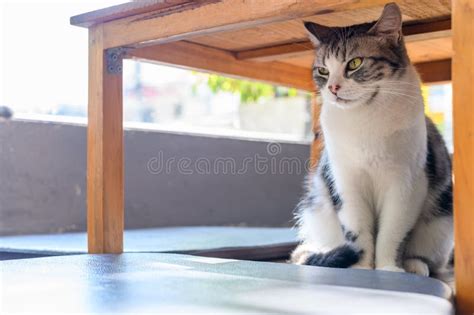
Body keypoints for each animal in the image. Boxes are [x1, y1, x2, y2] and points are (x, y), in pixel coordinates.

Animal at [290, 1, 454, 276]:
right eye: (323, 71)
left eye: (354, 63)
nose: (332, 88)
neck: (365, 119)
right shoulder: (345, 182)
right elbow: (358, 232)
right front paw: (362, 269)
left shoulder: (407, 184)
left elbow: (392, 232)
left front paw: (389, 269)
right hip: (317, 210)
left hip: (440, 224)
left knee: (431, 258)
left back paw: (415, 266)